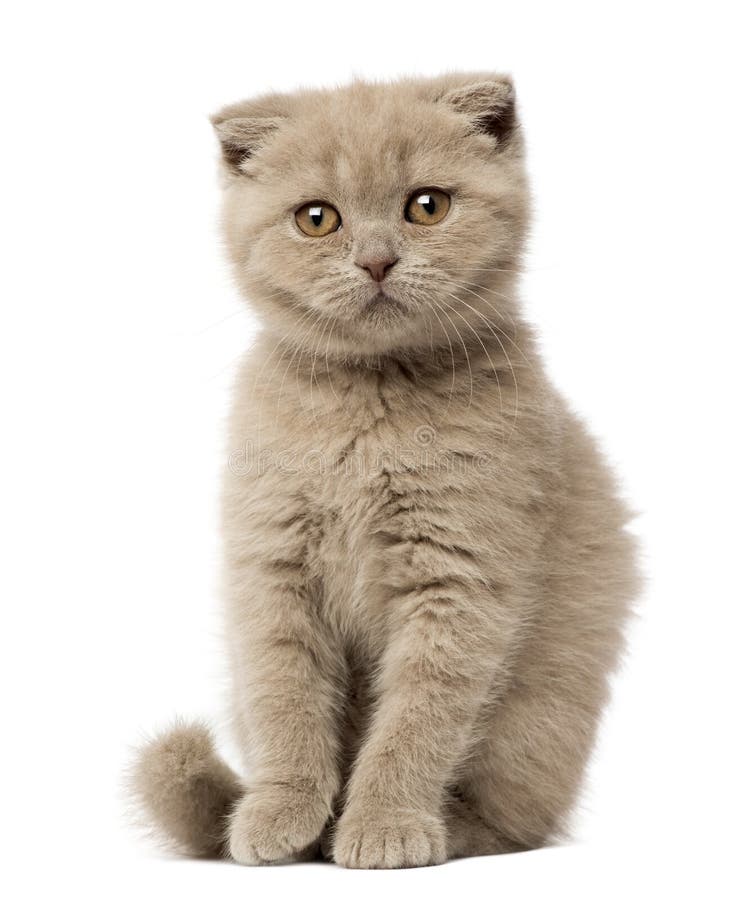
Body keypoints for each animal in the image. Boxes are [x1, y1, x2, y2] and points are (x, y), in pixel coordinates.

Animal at [132, 74, 640, 868]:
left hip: (541, 720)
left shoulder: (458, 578)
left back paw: (448, 833)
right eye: (316, 220)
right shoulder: (272, 565)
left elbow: (418, 719)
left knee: (515, 820)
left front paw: (384, 824)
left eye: (426, 206)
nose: (375, 260)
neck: (368, 412)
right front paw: (279, 812)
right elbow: (284, 696)